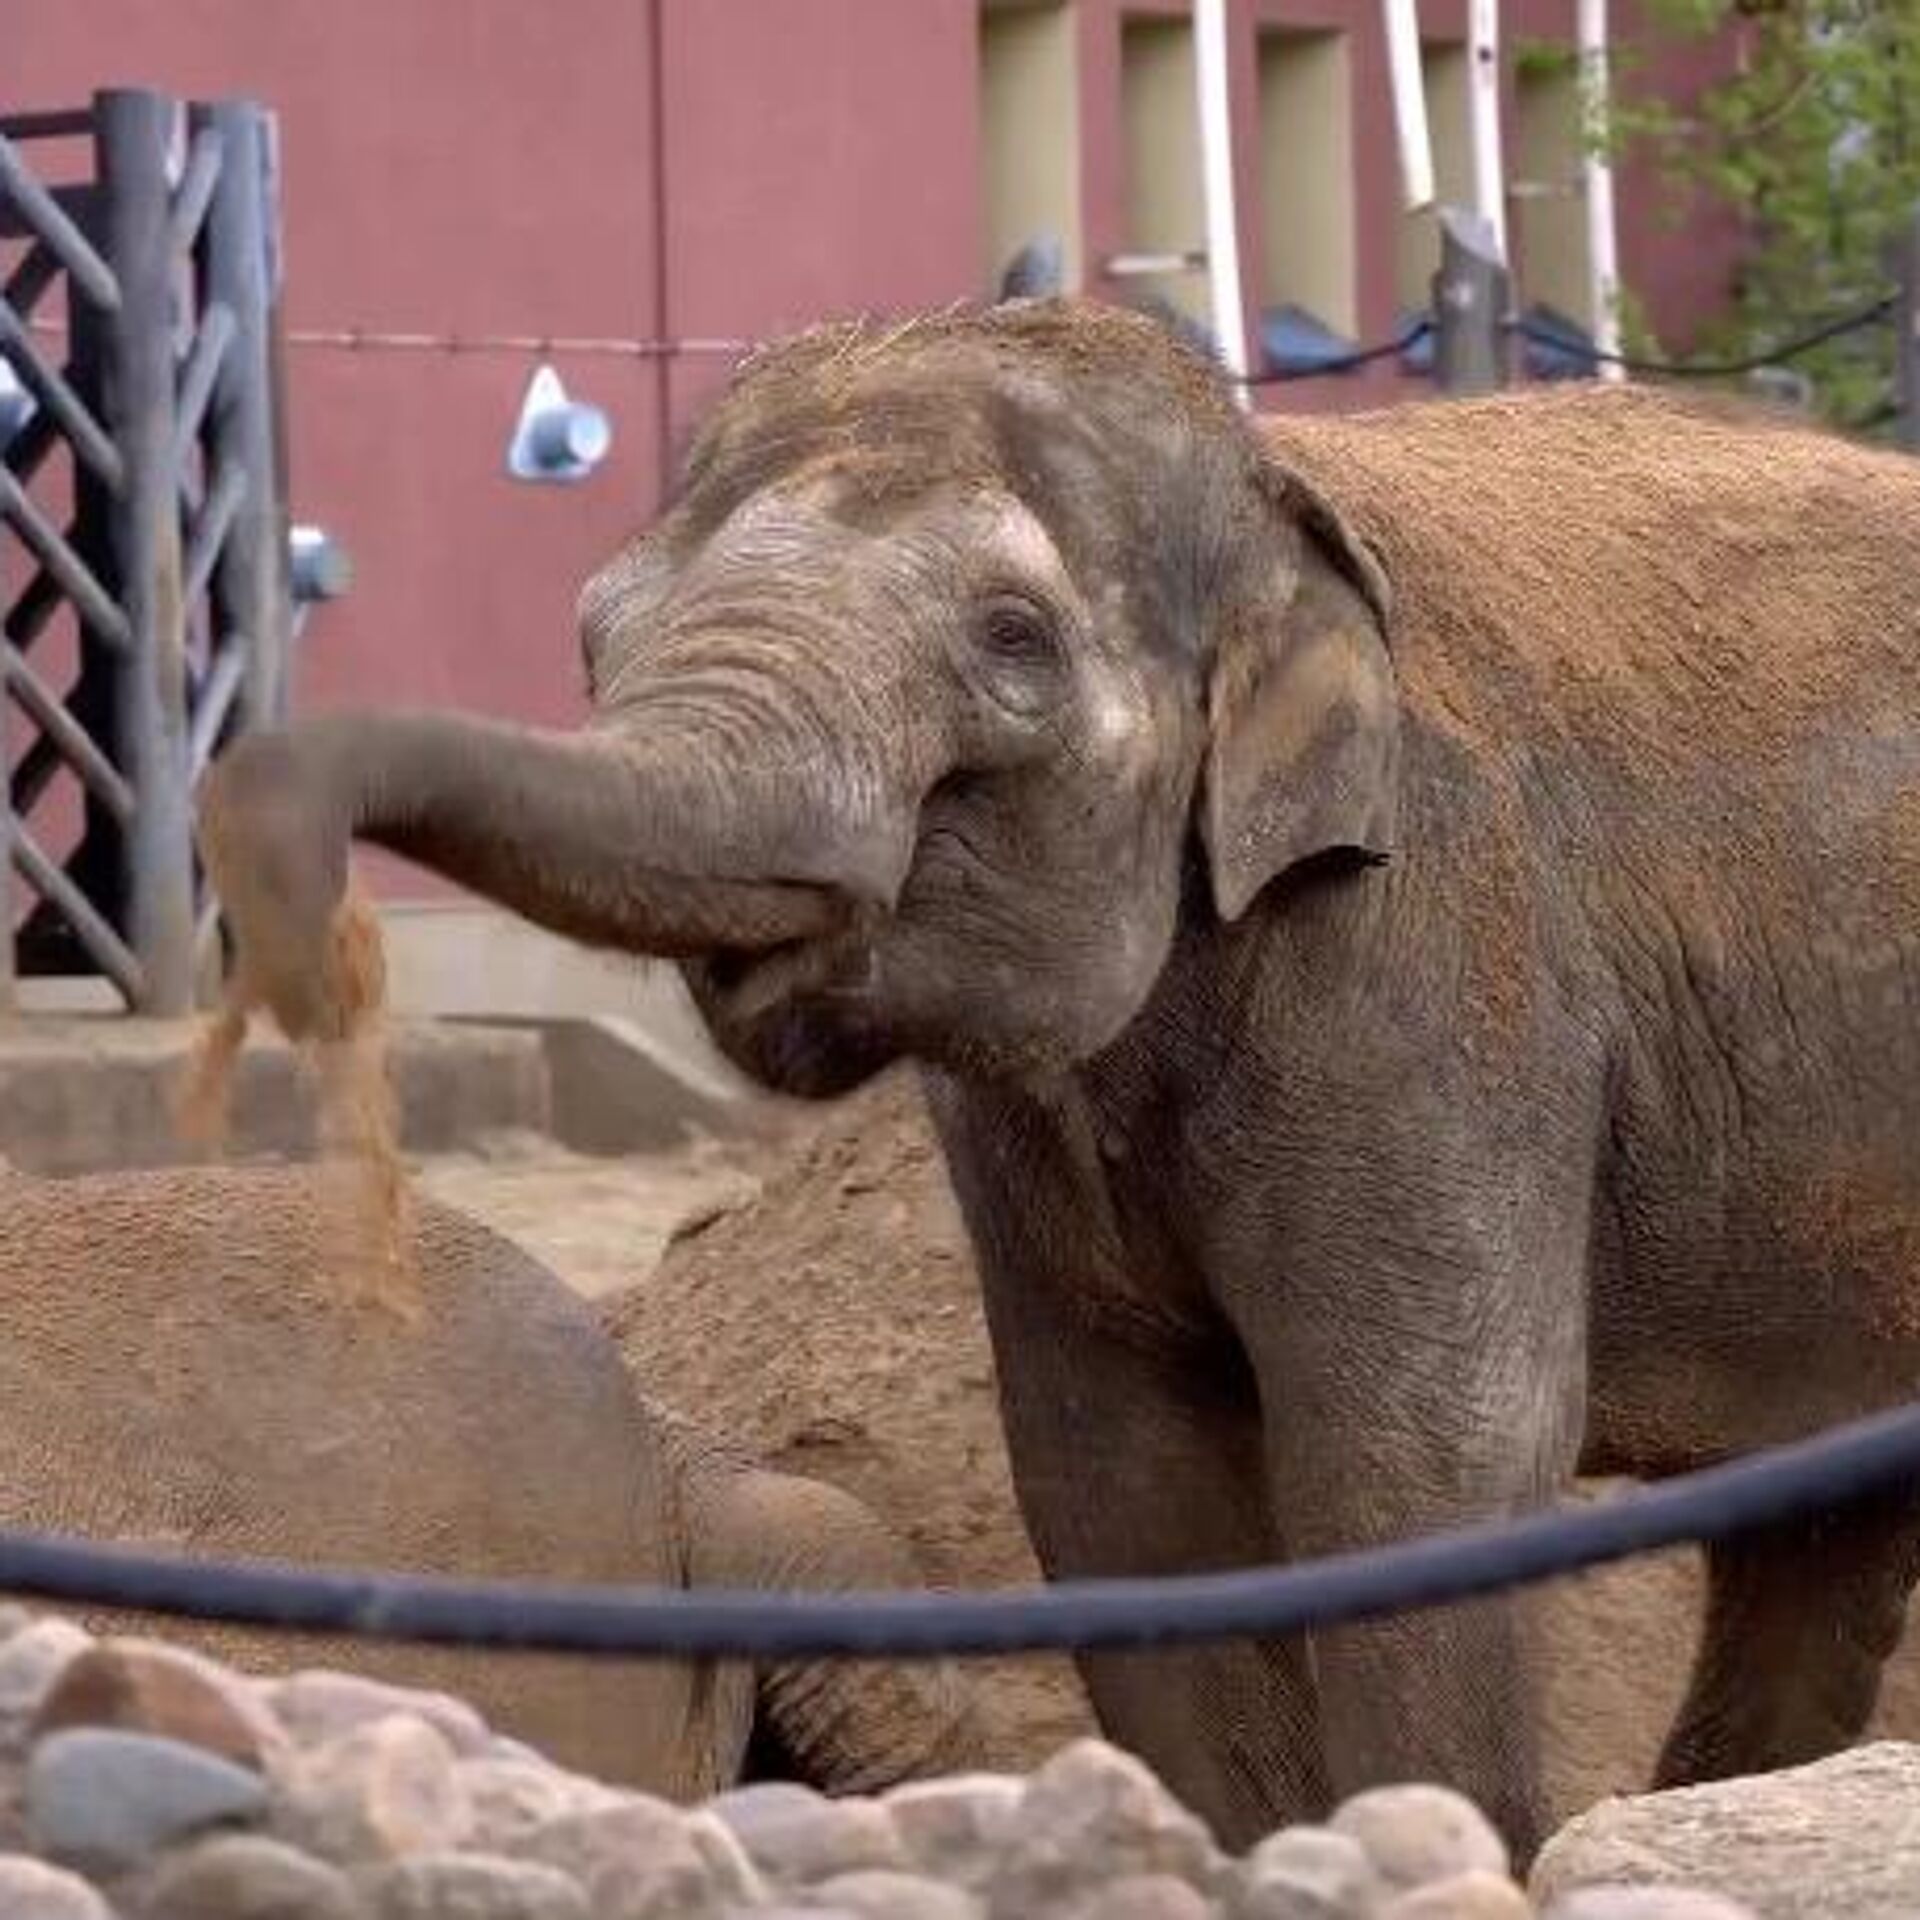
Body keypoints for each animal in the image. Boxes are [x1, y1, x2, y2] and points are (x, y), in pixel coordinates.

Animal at [202, 299, 1920, 1858]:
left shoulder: (1446, 969)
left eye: (1012, 641)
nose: (283, 908)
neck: (1281, 481)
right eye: (592, 633)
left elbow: (1423, 1461)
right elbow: (1122, 1488)